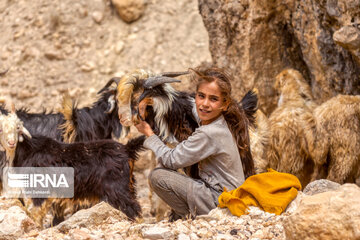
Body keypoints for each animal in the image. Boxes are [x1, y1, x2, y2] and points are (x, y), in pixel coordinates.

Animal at [0, 109, 145, 228]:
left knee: (133, 207)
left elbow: (36, 212)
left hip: (117, 189)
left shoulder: (39, 187)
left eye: (17, 128)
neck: (29, 150)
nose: (11, 143)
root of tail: (127, 149)